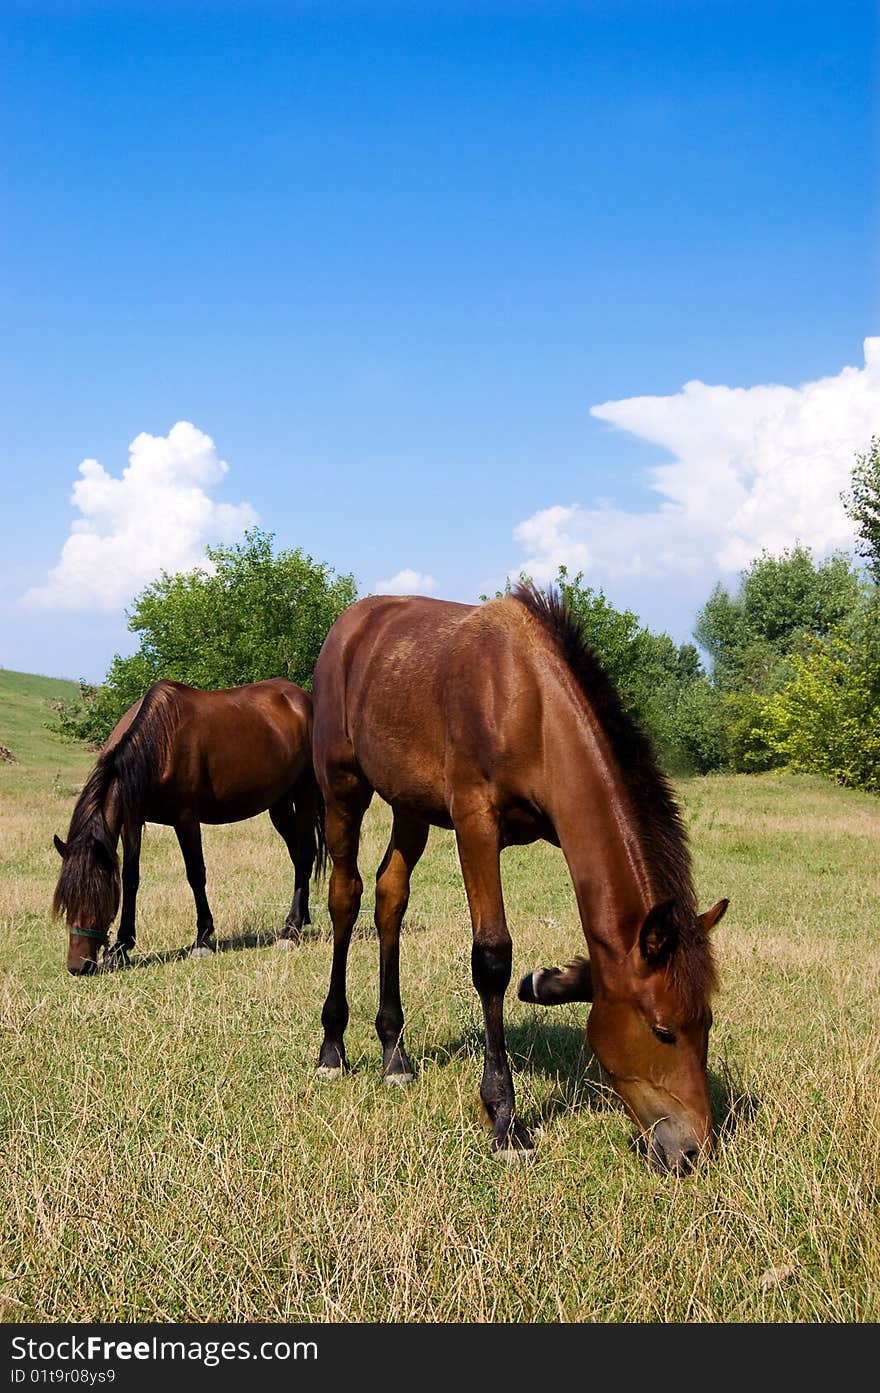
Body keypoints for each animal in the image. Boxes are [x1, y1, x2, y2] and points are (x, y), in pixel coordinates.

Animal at [52, 679, 327, 975]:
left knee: (305, 854)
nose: (78, 966)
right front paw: (122, 946)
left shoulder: (186, 819)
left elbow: (196, 874)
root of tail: (302, 698)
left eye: (98, 897)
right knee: (299, 855)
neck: (159, 741)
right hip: (279, 803)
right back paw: (302, 917)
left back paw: (291, 929)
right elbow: (131, 877)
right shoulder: (132, 821)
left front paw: (202, 939)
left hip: (305, 792)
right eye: (66, 900)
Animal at [309, 582, 729, 1170]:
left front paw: (551, 980)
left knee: (391, 895)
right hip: (343, 788)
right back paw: (333, 1048)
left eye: (706, 1023)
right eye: (663, 1031)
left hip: (410, 805)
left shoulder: (561, 825)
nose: (693, 1150)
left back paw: (394, 1054)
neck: (528, 701)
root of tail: (351, 624)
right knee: (345, 896)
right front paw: (504, 1119)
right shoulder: (475, 825)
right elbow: (492, 958)